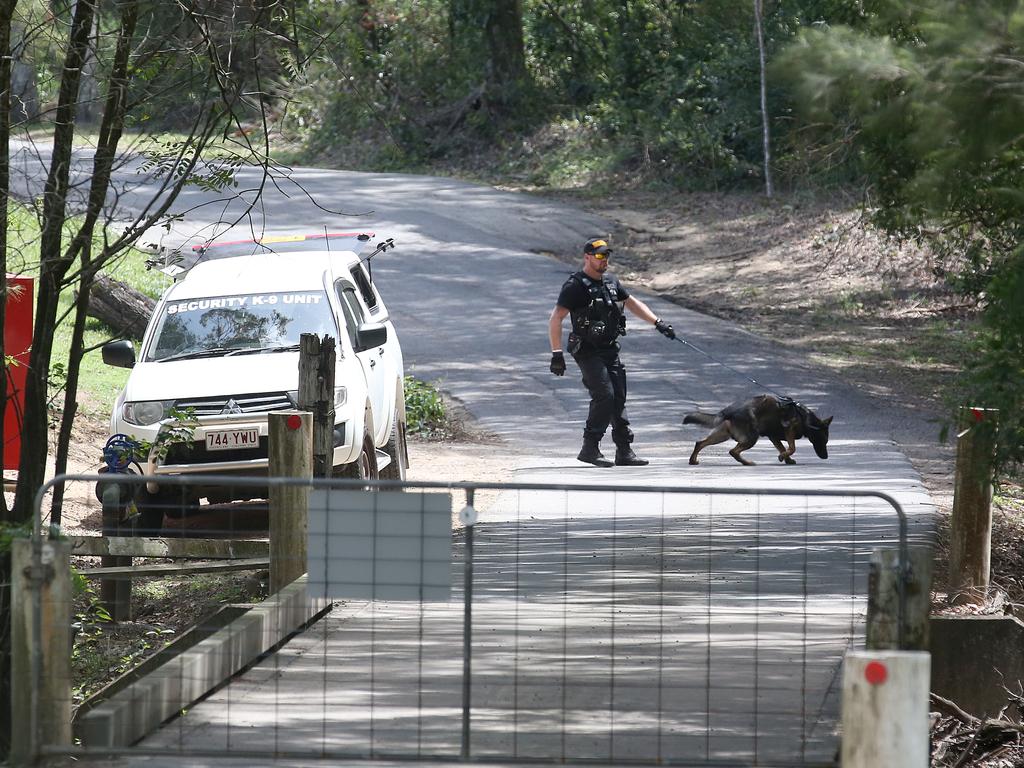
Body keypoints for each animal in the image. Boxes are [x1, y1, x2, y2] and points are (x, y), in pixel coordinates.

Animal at [679, 399, 831, 466]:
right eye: (824, 440)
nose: (826, 457)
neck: (806, 419)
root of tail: (730, 411)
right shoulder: (789, 430)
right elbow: (792, 447)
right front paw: (783, 457)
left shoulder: (774, 437)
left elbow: (783, 448)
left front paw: (786, 459)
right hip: (752, 437)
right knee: (733, 451)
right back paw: (747, 463)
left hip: (722, 435)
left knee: (700, 443)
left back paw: (692, 460)